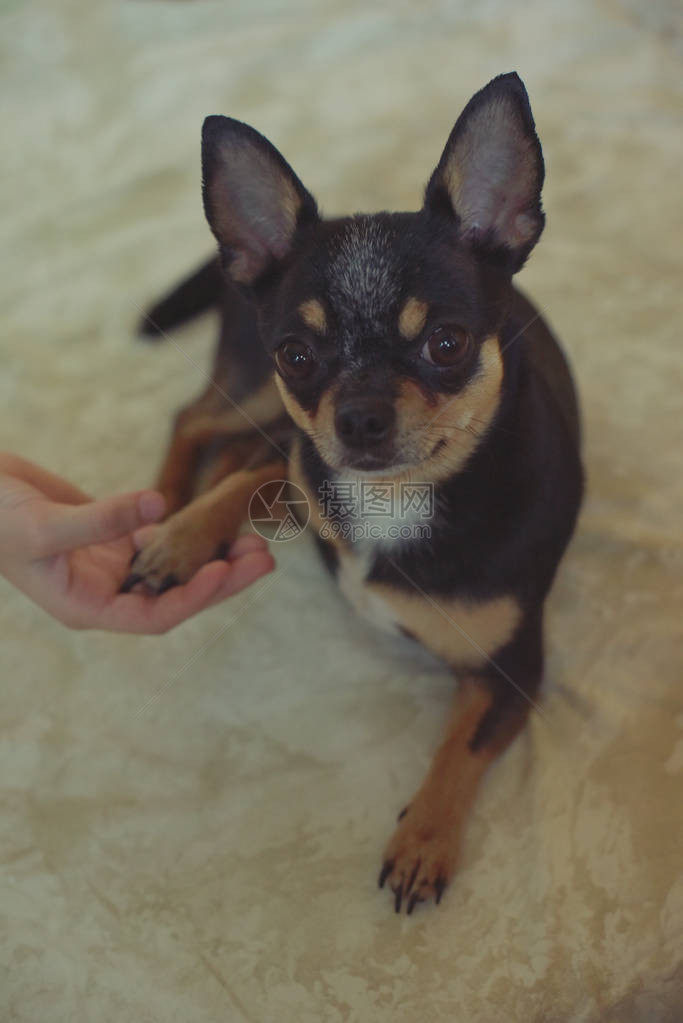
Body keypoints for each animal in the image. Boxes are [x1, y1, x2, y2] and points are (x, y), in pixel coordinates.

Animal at [126, 75, 580, 916]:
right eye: (297, 354)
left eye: (446, 343)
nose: (359, 414)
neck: (397, 499)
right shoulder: (307, 454)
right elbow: (256, 479)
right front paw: (179, 538)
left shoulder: (509, 674)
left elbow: (459, 745)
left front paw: (422, 839)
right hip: (254, 395)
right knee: (200, 423)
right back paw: (165, 503)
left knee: (230, 446)